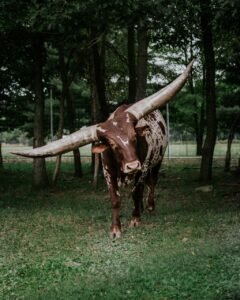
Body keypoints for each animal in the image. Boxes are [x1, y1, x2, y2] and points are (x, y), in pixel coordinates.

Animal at [13, 60, 194, 237]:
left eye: (134, 138)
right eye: (112, 144)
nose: (132, 166)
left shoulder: (142, 169)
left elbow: (136, 192)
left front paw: (135, 219)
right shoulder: (107, 173)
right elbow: (115, 199)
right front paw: (115, 228)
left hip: (157, 161)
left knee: (151, 183)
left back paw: (149, 207)